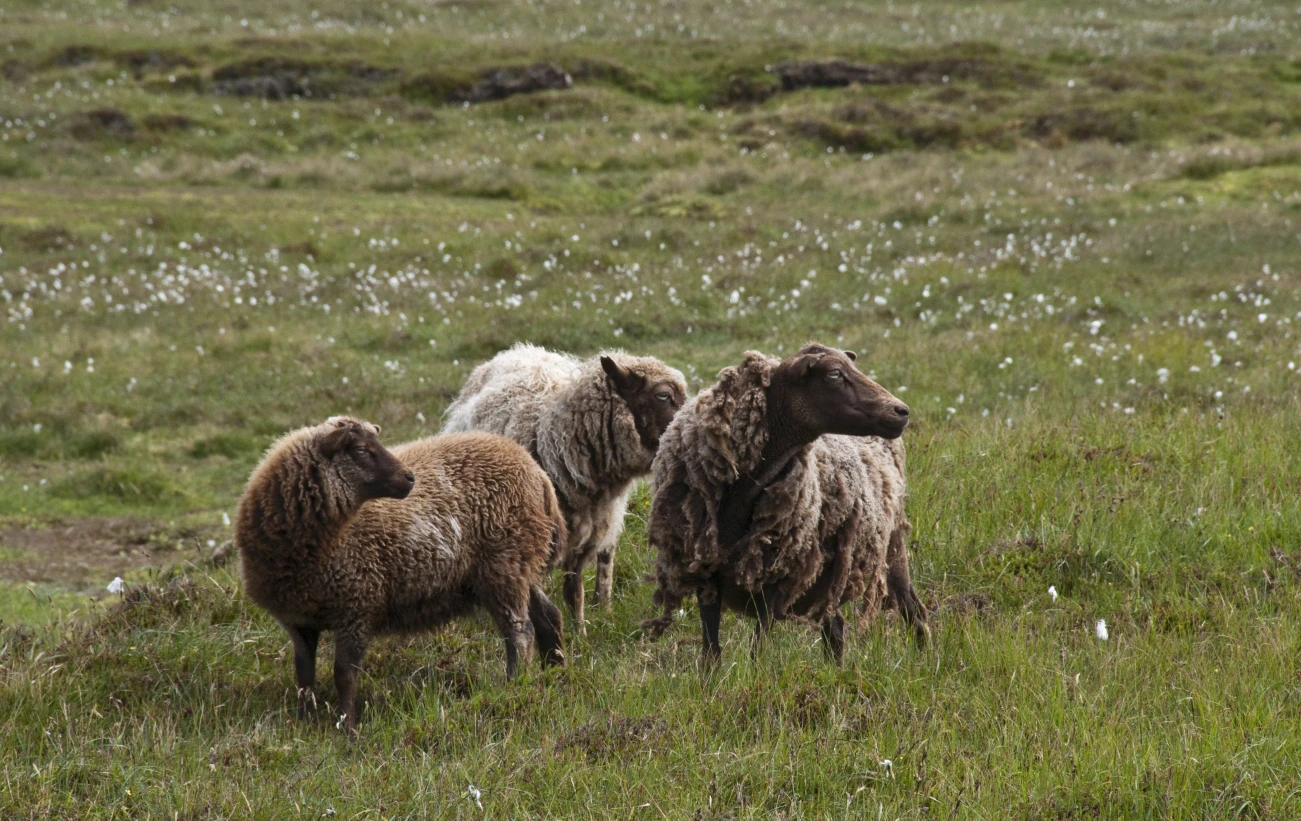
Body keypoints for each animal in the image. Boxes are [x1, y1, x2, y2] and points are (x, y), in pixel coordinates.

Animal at [236, 416, 567, 733]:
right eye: (360, 449)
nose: (410, 478)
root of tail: (536, 472)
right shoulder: (298, 621)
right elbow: (304, 676)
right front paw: (305, 722)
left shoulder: (358, 606)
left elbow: (344, 674)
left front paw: (347, 727)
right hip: (520, 565)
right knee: (548, 615)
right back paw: (555, 671)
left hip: (504, 566)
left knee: (519, 631)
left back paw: (514, 685)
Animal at [443, 344, 687, 630]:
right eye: (663, 395)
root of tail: (520, 349)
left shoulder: (589, 527)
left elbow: (574, 587)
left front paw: (579, 630)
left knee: (607, 556)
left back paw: (603, 605)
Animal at [641, 344, 929, 664]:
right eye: (834, 373)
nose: (901, 411)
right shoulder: (706, 574)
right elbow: (711, 650)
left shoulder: (774, 584)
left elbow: (758, 647)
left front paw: (754, 674)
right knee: (836, 626)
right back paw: (838, 669)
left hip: (891, 547)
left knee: (913, 609)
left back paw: (924, 661)